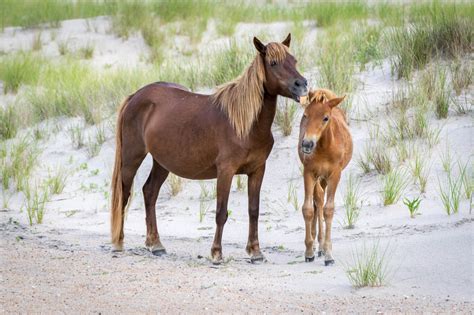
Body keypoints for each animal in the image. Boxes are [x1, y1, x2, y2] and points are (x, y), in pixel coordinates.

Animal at [110, 34, 308, 264]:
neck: (244, 125)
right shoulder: (226, 171)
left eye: (294, 60)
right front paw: (216, 253)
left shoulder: (257, 170)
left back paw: (155, 244)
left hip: (162, 163)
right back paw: (118, 243)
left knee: (149, 192)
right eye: (273, 63)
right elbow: (221, 212)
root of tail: (135, 96)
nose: (302, 85)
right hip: (131, 158)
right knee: (124, 194)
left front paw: (256, 252)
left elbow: (254, 210)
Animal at [300, 89, 352, 266]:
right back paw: (317, 245)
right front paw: (309, 251)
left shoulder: (335, 174)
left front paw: (329, 253)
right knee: (318, 200)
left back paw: (322, 247)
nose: (307, 144)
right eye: (305, 115)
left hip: (324, 178)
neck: (323, 147)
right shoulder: (309, 172)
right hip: (318, 177)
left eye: (325, 118)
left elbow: (329, 210)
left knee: (321, 202)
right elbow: (308, 209)